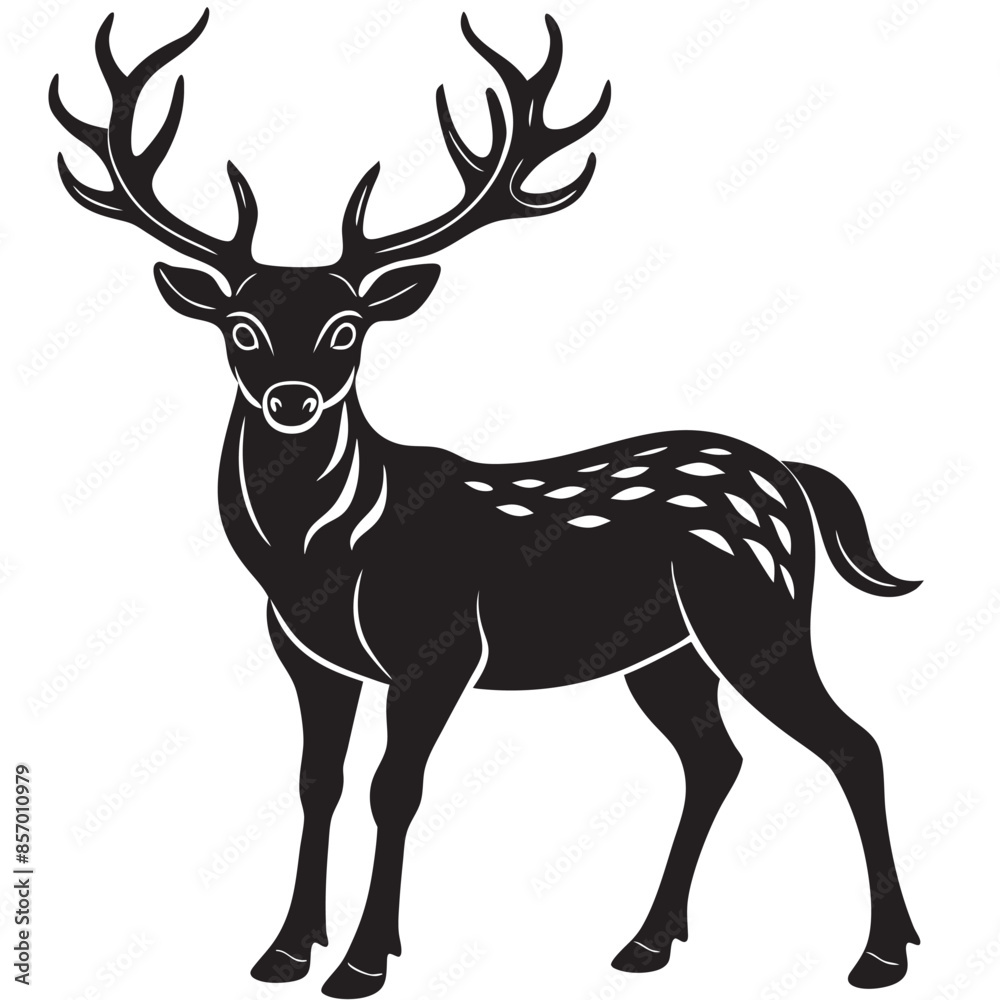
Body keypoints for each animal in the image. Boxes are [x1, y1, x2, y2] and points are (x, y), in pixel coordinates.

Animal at [51, 9, 921, 997]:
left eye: (346, 329)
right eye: (242, 328)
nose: (291, 397)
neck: (319, 559)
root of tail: (791, 475)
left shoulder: (438, 648)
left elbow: (395, 790)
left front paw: (363, 961)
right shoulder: (309, 660)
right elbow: (317, 784)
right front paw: (283, 950)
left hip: (758, 611)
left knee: (853, 742)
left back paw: (880, 954)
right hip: (667, 653)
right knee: (716, 759)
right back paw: (647, 941)